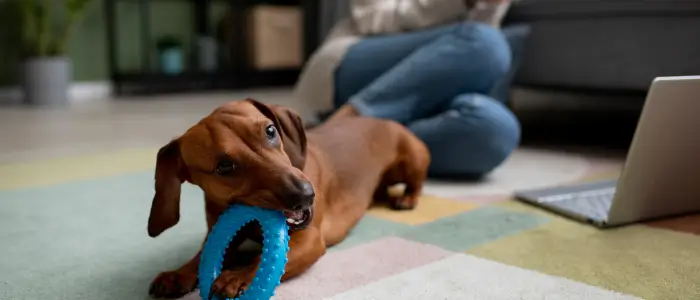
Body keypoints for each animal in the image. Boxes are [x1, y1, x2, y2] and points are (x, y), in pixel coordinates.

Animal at [148, 98, 430, 298]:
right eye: (224, 166)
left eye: (270, 130)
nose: (305, 195)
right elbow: (201, 256)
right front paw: (178, 274)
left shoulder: (310, 241)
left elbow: (262, 259)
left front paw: (237, 276)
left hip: (412, 160)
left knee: (416, 183)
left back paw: (407, 199)